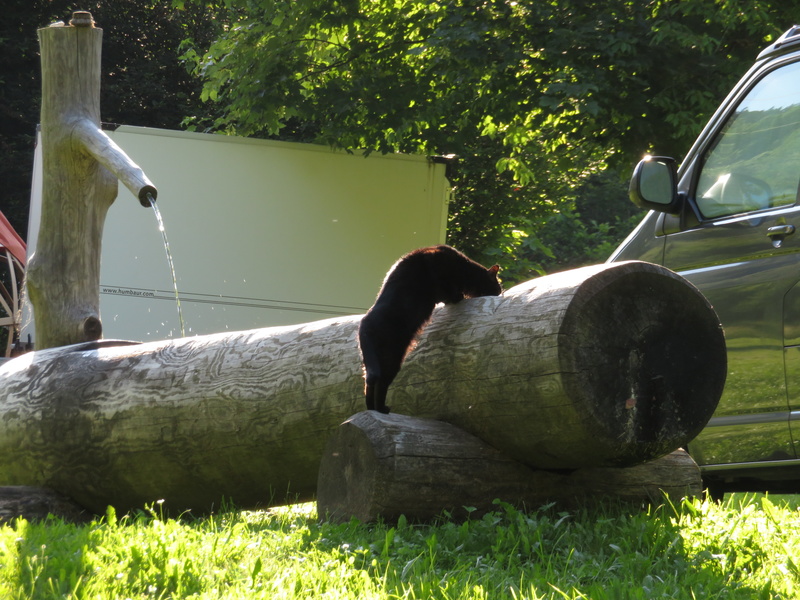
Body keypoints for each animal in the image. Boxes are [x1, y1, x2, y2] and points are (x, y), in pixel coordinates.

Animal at [360, 244, 504, 412]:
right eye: (497, 287)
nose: (500, 294)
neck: (464, 268)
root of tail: (364, 324)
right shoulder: (434, 264)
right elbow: (448, 291)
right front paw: (458, 296)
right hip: (392, 358)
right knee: (380, 383)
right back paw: (380, 409)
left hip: (381, 360)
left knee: (370, 383)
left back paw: (373, 409)